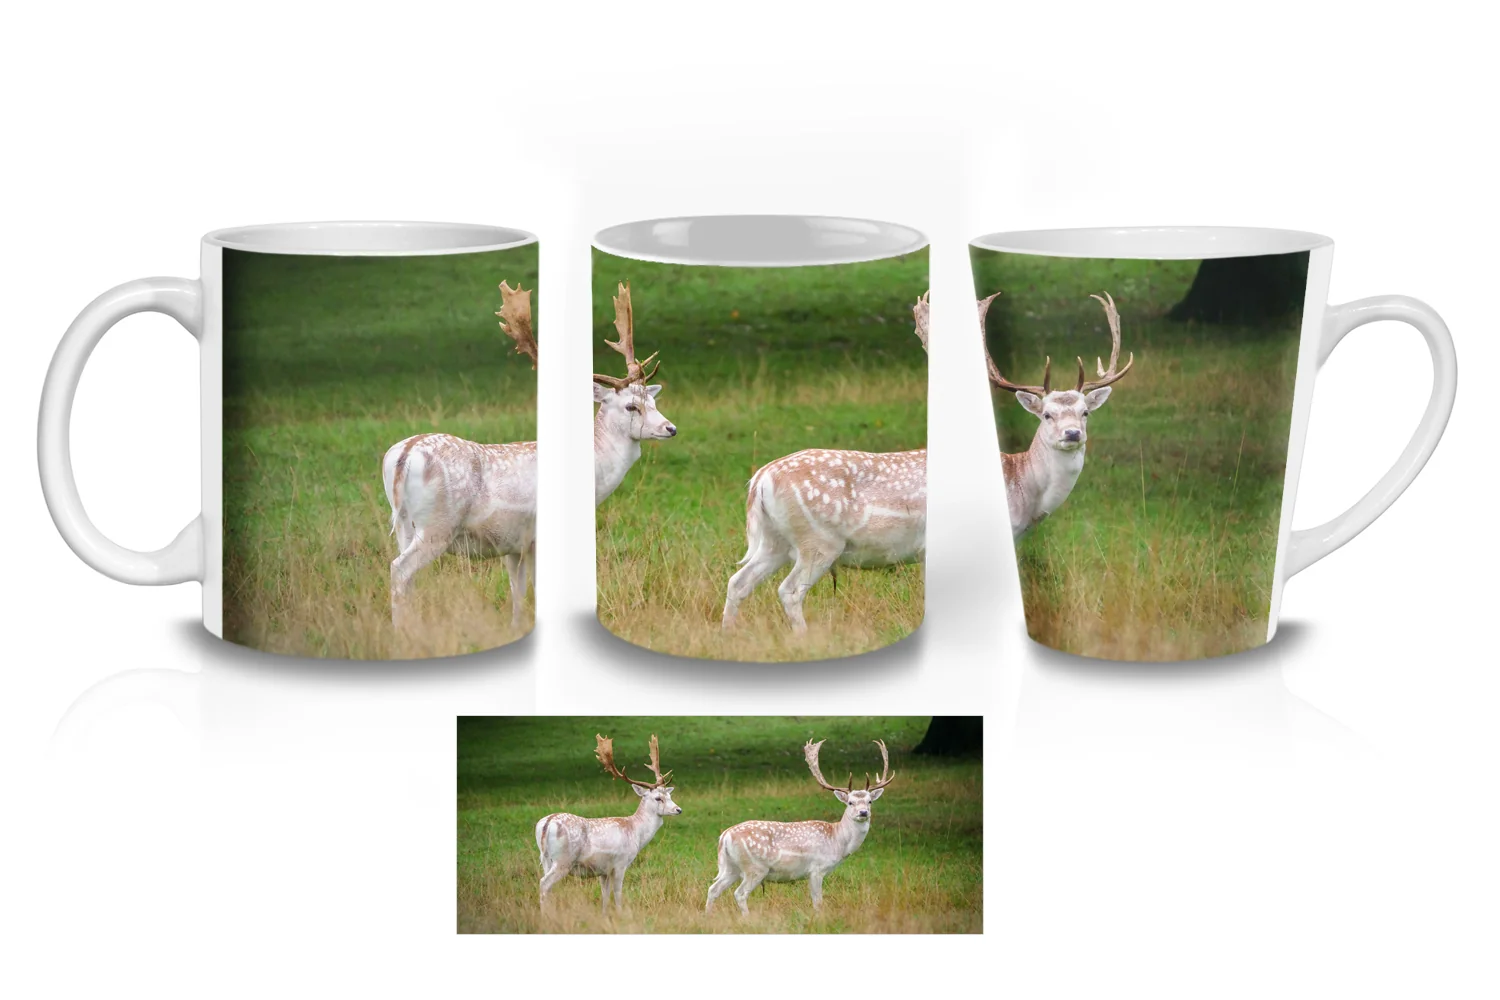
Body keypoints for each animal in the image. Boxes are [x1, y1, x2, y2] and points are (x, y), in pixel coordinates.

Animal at [535, 734, 682, 913]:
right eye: (658, 798)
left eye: (669, 796)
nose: (678, 809)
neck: (636, 832)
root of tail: (547, 824)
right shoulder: (620, 863)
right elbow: (617, 893)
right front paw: (621, 914)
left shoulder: (603, 869)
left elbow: (605, 895)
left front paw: (604, 914)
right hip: (564, 859)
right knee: (544, 883)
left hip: (545, 858)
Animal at [706, 737, 897, 915]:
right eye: (850, 802)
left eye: (870, 801)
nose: (863, 813)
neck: (838, 842)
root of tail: (725, 836)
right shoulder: (817, 869)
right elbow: (818, 902)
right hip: (755, 868)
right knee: (740, 893)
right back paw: (748, 919)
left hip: (731, 868)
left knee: (713, 889)